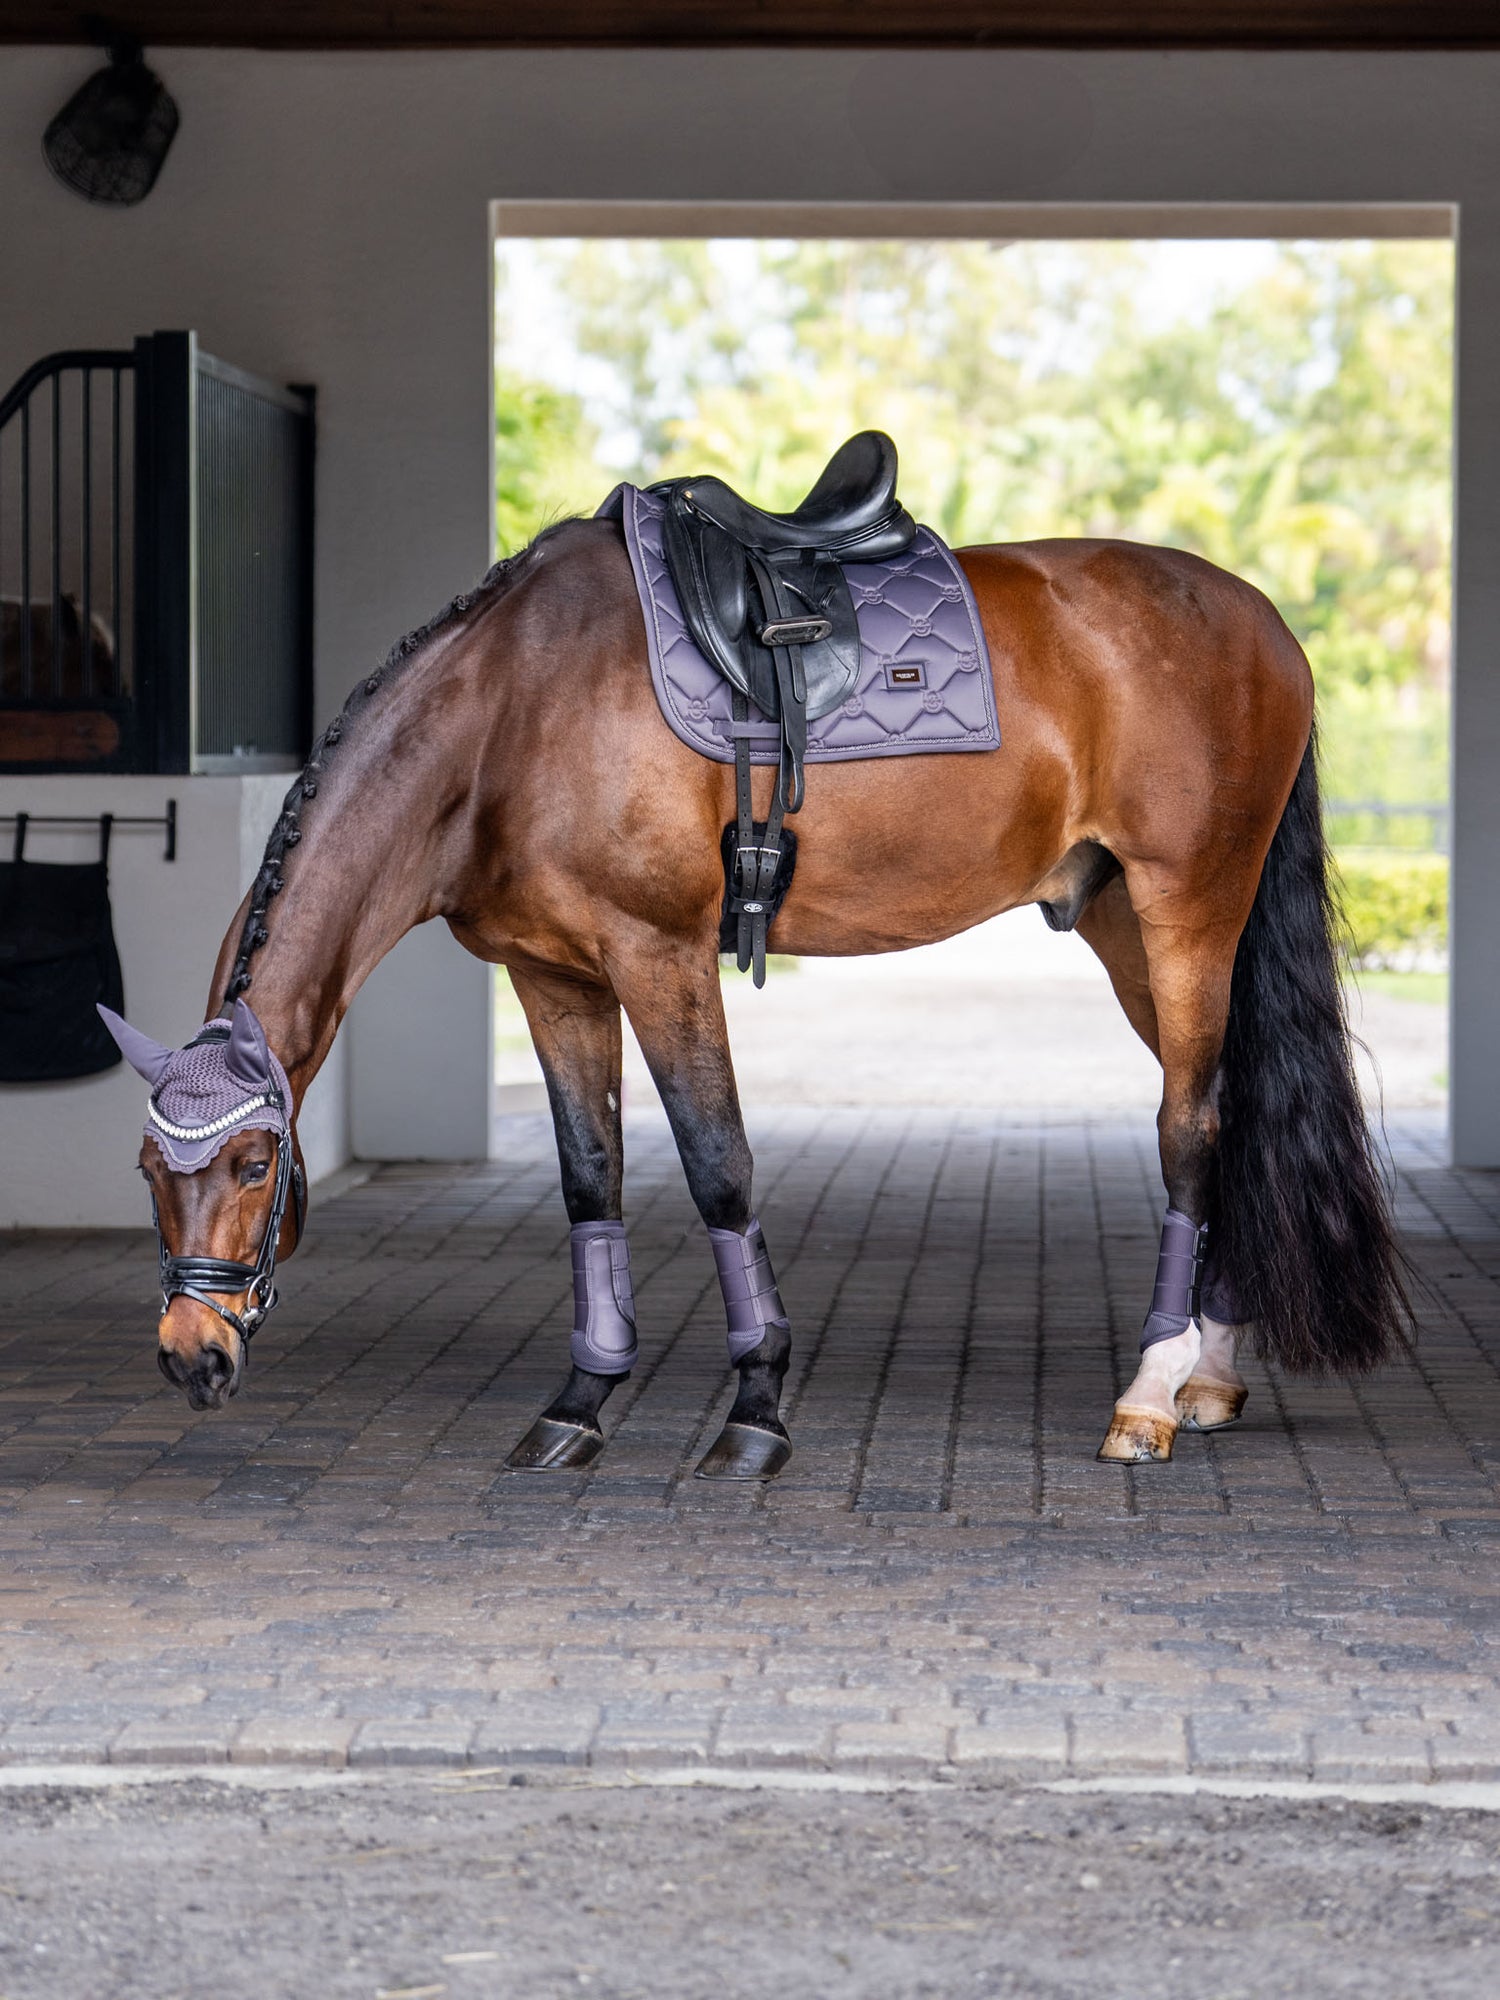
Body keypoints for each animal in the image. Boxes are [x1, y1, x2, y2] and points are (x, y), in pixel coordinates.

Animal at [103, 493, 1409, 1478]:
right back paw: (1211, 1377)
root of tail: (1263, 619)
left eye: (255, 1162)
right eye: (146, 1168)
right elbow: (590, 1181)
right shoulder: (553, 978)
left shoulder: (660, 954)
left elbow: (718, 1166)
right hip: (1125, 924)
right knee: (1229, 1112)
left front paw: (758, 1409)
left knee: (1192, 1130)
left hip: (1190, 911)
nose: (186, 1351)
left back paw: (1147, 1393)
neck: (512, 714)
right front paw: (578, 1403)